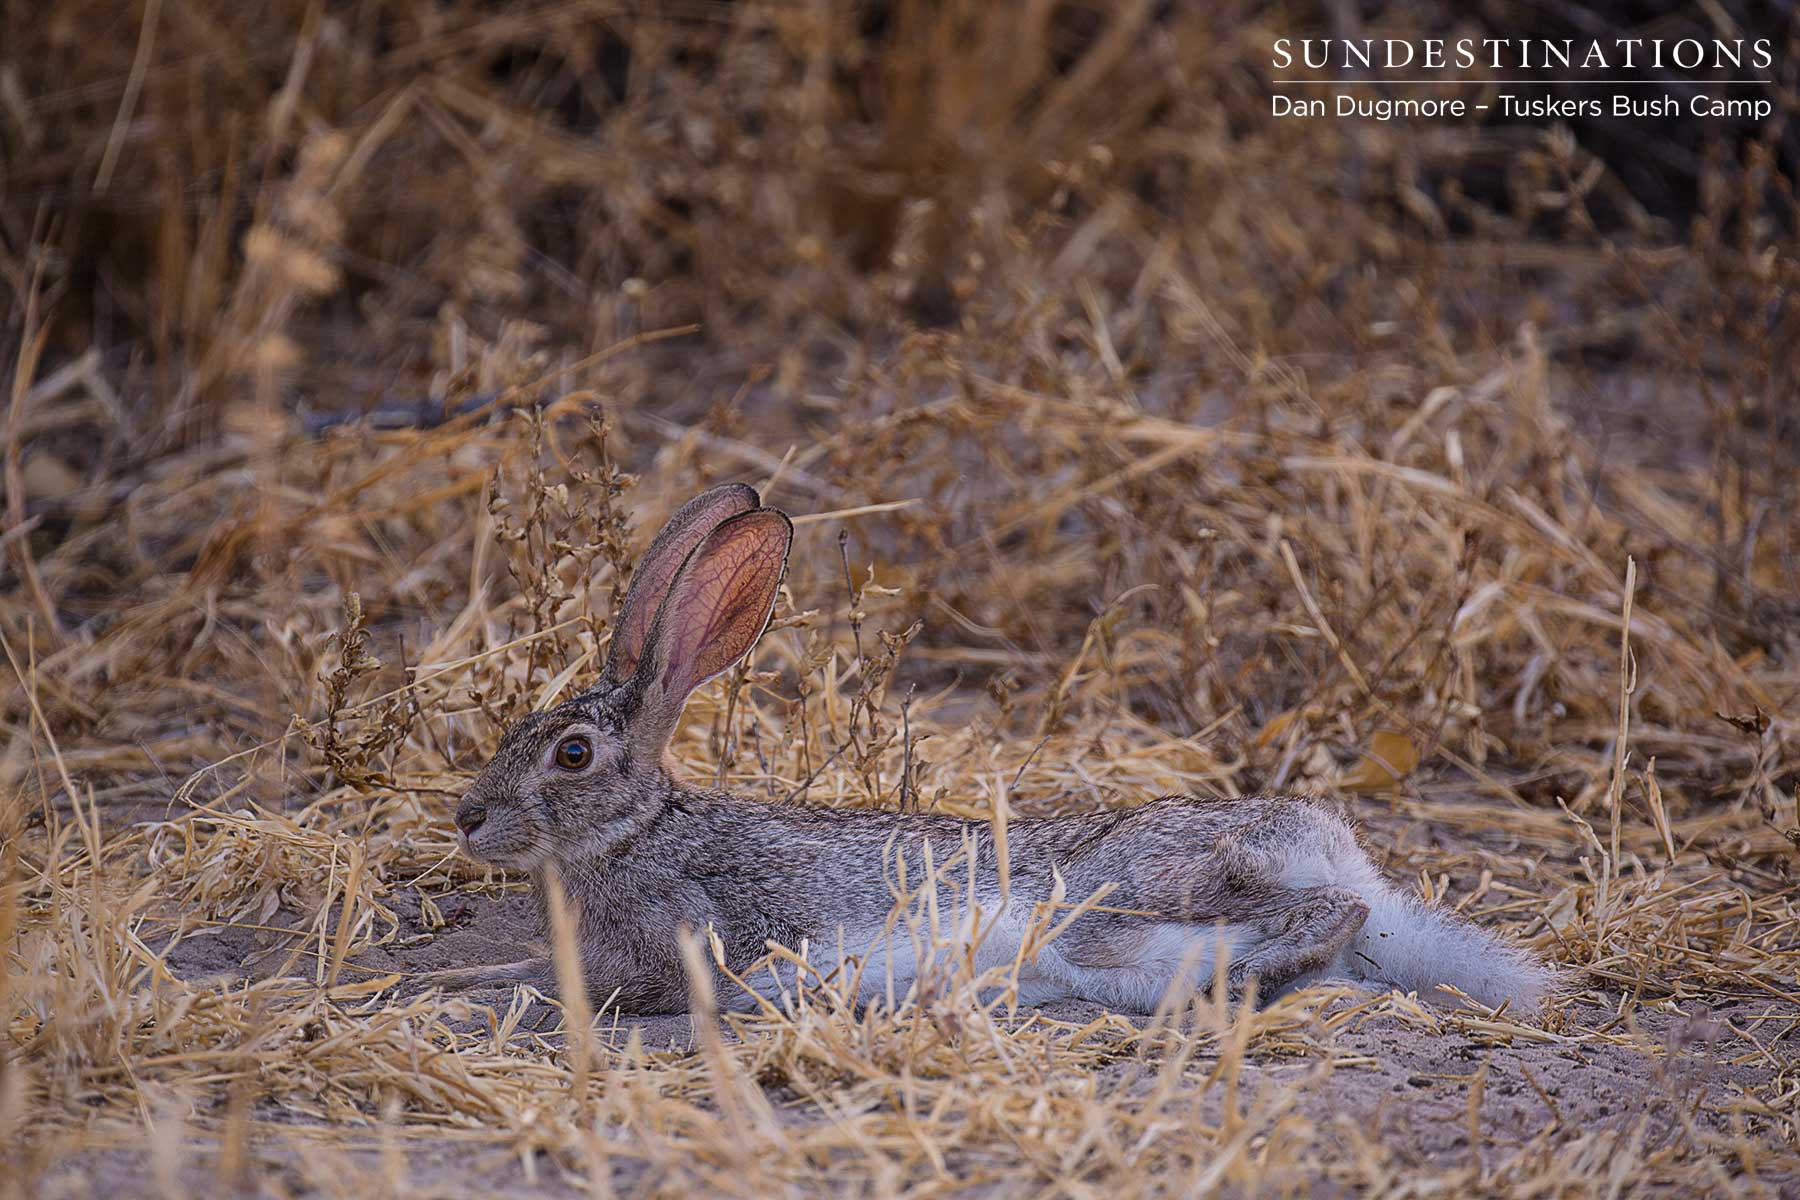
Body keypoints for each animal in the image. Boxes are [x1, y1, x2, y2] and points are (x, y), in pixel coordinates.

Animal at [425, 483, 1552, 1016]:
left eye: (571, 756)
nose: (468, 818)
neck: (629, 834)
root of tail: (1330, 841)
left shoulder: (673, 939)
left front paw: (469, 987)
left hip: (1125, 903)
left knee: (1320, 914)